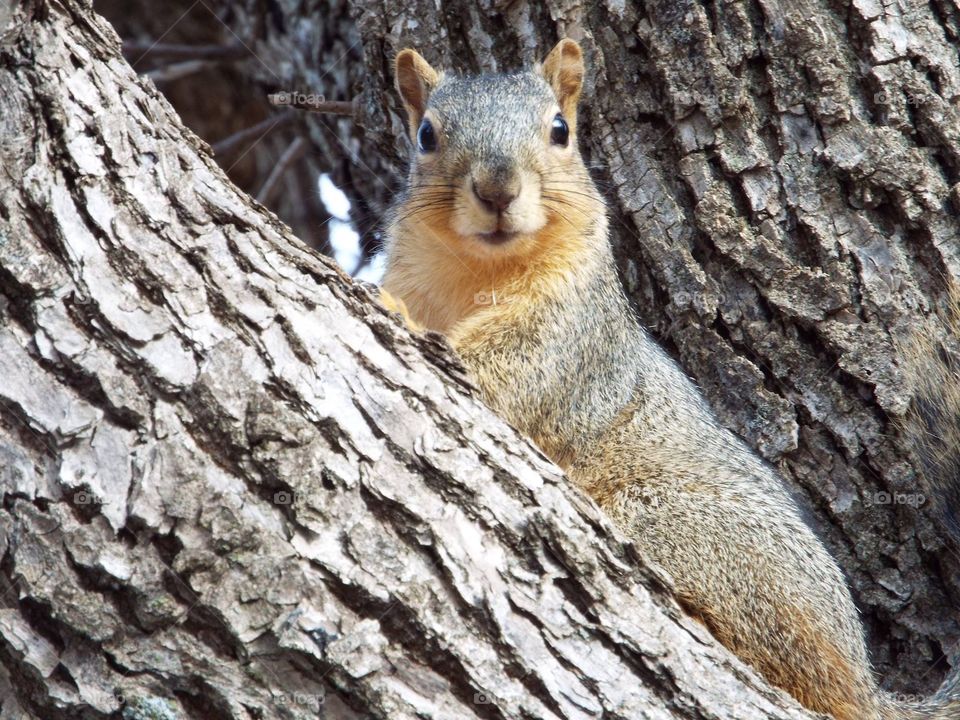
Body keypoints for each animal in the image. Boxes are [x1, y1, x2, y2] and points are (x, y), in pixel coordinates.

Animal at [379, 39, 960, 720]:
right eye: (426, 134)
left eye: (560, 130)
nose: (498, 189)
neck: (477, 271)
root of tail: (868, 684)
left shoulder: (574, 340)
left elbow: (500, 373)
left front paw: (396, 317)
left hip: (678, 525)